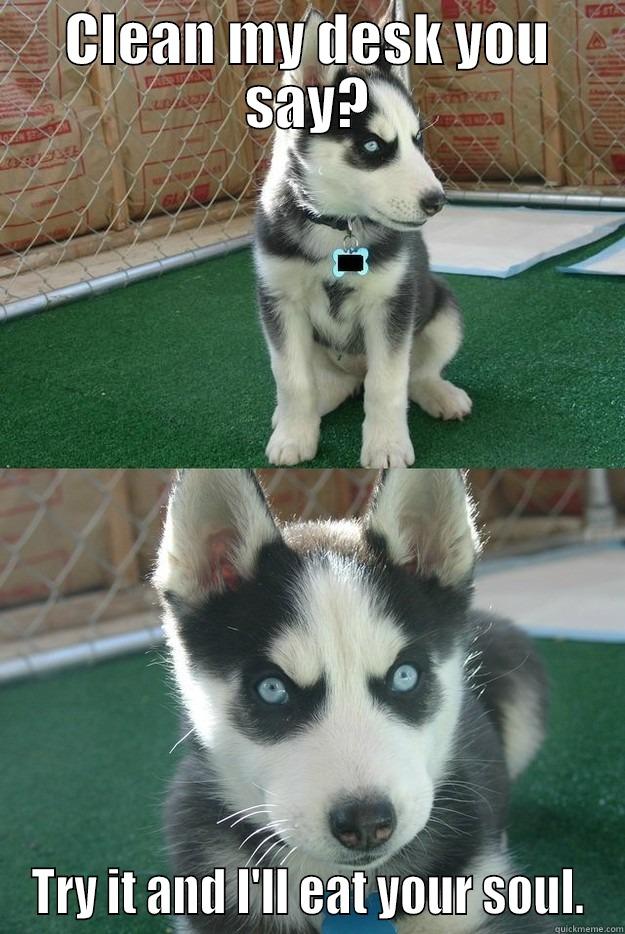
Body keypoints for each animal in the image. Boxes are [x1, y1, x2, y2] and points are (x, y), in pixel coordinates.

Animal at [252, 0, 468, 468]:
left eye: (417, 140)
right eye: (371, 146)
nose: (437, 201)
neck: (338, 226)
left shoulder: (391, 305)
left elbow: (387, 385)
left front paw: (386, 445)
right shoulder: (280, 302)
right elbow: (292, 379)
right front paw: (294, 435)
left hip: (443, 310)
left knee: (412, 375)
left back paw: (439, 393)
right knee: (330, 384)